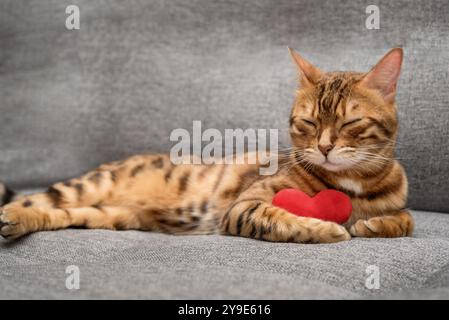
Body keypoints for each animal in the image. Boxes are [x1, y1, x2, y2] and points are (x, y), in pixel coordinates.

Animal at [0, 47, 412, 242]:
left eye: (350, 123)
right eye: (308, 123)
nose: (324, 148)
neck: (354, 186)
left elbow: (406, 220)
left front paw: (375, 224)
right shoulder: (245, 205)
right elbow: (283, 219)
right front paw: (326, 227)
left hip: (102, 214)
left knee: (55, 214)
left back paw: (17, 223)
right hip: (87, 186)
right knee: (34, 199)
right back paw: (12, 215)